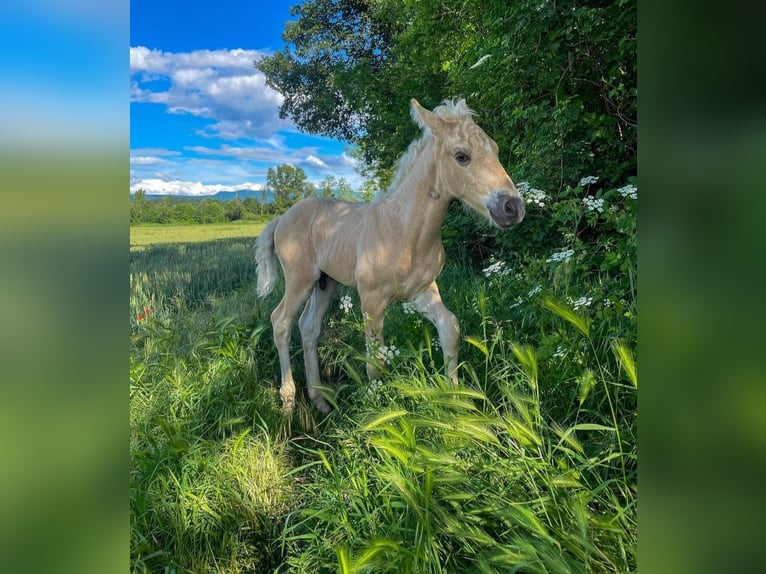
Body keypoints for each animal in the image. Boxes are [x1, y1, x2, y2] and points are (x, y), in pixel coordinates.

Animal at [255, 99, 524, 414]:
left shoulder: (421, 290)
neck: (406, 233)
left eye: (495, 149)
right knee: (281, 322)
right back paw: (287, 403)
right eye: (462, 156)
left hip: (325, 283)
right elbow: (375, 361)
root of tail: (280, 219)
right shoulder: (371, 298)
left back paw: (320, 400)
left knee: (308, 327)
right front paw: (377, 411)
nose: (513, 207)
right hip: (300, 279)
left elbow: (450, 328)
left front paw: (455, 399)